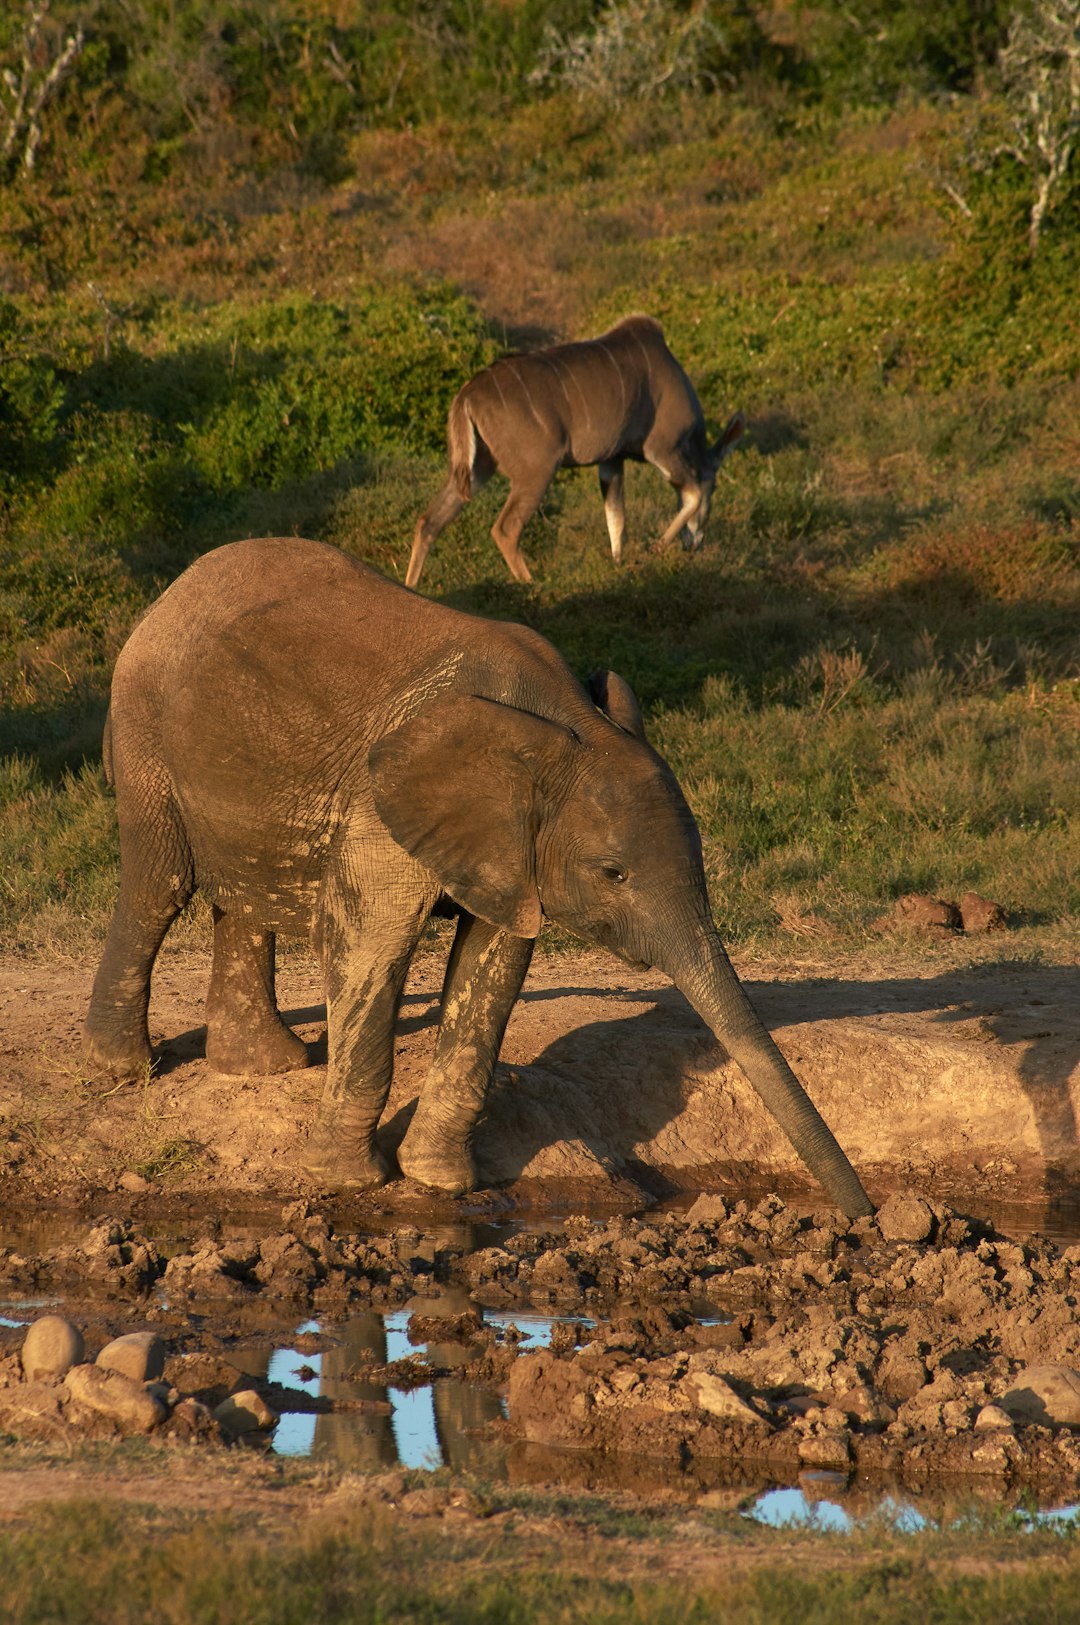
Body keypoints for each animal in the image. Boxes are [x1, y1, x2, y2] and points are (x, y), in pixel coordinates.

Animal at [86, 533, 870, 1222]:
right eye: (612, 873)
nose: (867, 1218)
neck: (563, 726)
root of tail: (175, 588)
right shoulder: (378, 805)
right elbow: (370, 949)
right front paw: (347, 1182)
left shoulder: (514, 847)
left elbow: (493, 968)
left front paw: (442, 1183)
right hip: (141, 724)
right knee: (160, 883)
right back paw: (126, 1070)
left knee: (240, 895)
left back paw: (267, 1067)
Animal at [404, 312, 740, 591]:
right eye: (716, 487)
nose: (696, 545)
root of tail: (466, 397)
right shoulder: (662, 447)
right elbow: (691, 494)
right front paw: (656, 548)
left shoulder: (611, 459)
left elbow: (616, 517)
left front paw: (619, 567)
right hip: (538, 469)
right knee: (505, 528)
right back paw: (531, 584)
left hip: (477, 468)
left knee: (429, 520)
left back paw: (412, 586)